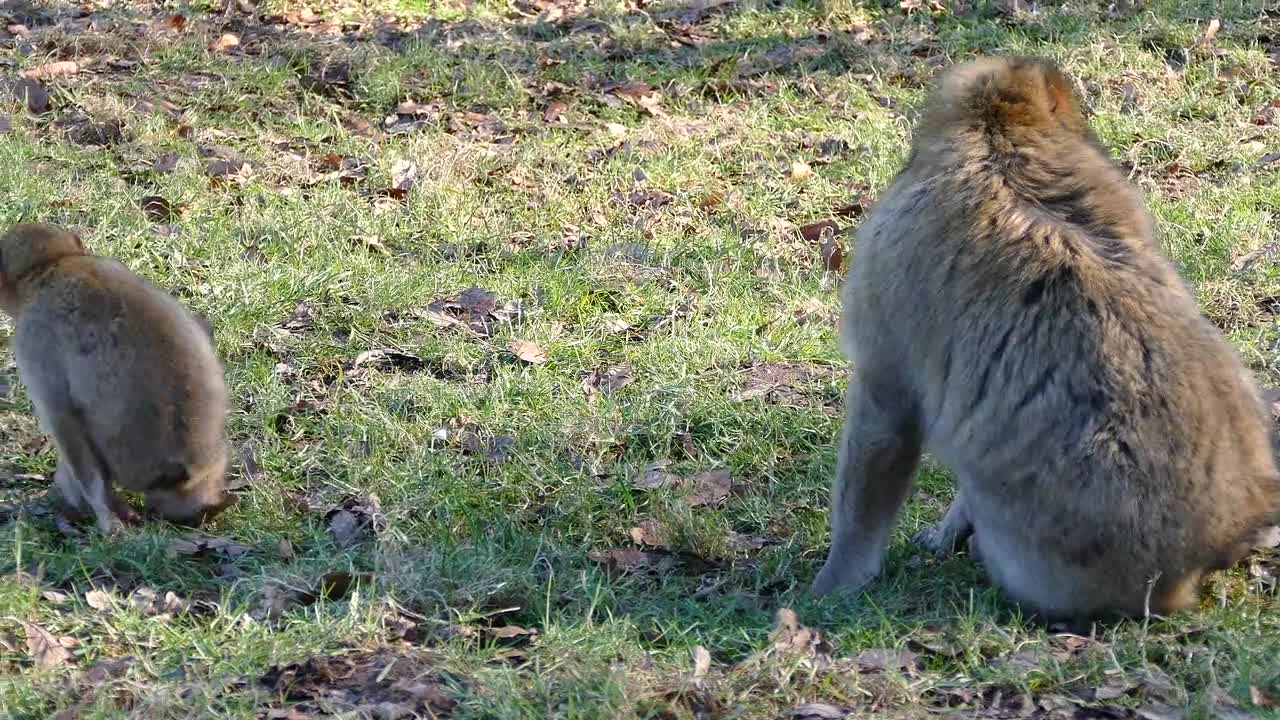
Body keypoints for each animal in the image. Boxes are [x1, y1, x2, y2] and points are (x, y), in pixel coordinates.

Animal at [808, 57, 1280, 617]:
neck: (1000, 141)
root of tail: (1212, 545)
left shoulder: (887, 267)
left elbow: (884, 424)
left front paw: (837, 578)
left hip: (1047, 561)